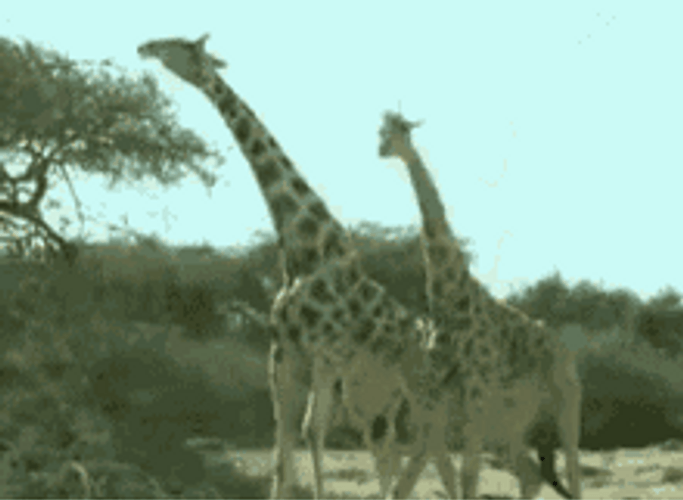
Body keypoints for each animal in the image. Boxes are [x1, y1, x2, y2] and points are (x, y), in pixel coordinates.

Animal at [137, 35, 454, 500]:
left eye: (179, 44)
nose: (144, 47)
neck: (304, 248)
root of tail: (420, 330)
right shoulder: (282, 352)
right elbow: (283, 438)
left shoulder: (324, 352)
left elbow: (311, 431)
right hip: (370, 385)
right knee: (385, 444)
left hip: (391, 386)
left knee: (399, 444)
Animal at [378, 111, 582, 499]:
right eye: (380, 130)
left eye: (402, 130)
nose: (382, 148)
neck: (449, 298)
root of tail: (564, 347)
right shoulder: (441, 390)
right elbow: (435, 470)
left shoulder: (475, 386)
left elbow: (467, 472)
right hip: (511, 418)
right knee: (529, 474)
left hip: (564, 400)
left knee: (572, 471)